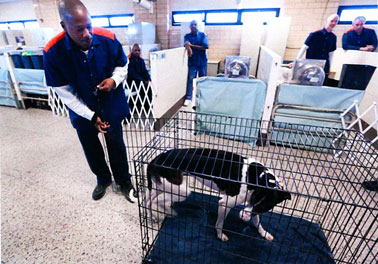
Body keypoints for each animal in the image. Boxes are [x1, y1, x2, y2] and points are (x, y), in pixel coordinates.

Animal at [146, 148, 290, 241]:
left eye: (264, 207)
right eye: (255, 198)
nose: (242, 216)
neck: (257, 177)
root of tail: (155, 159)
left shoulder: (252, 207)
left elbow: (257, 221)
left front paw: (264, 234)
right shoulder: (225, 203)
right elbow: (220, 223)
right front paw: (220, 236)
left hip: (163, 186)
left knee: (148, 200)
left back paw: (152, 216)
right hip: (181, 191)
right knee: (156, 201)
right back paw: (168, 212)